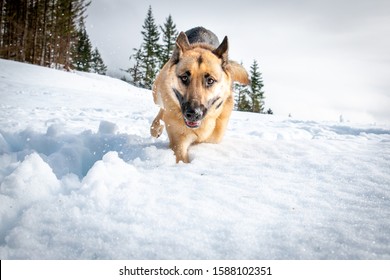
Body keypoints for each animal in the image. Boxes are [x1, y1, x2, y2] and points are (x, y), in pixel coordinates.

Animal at [151, 27, 248, 163]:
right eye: (184, 77)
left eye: (210, 80)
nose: (193, 114)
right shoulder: (178, 142)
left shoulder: (212, 139)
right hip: (157, 94)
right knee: (161, 108)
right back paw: (156, 128)